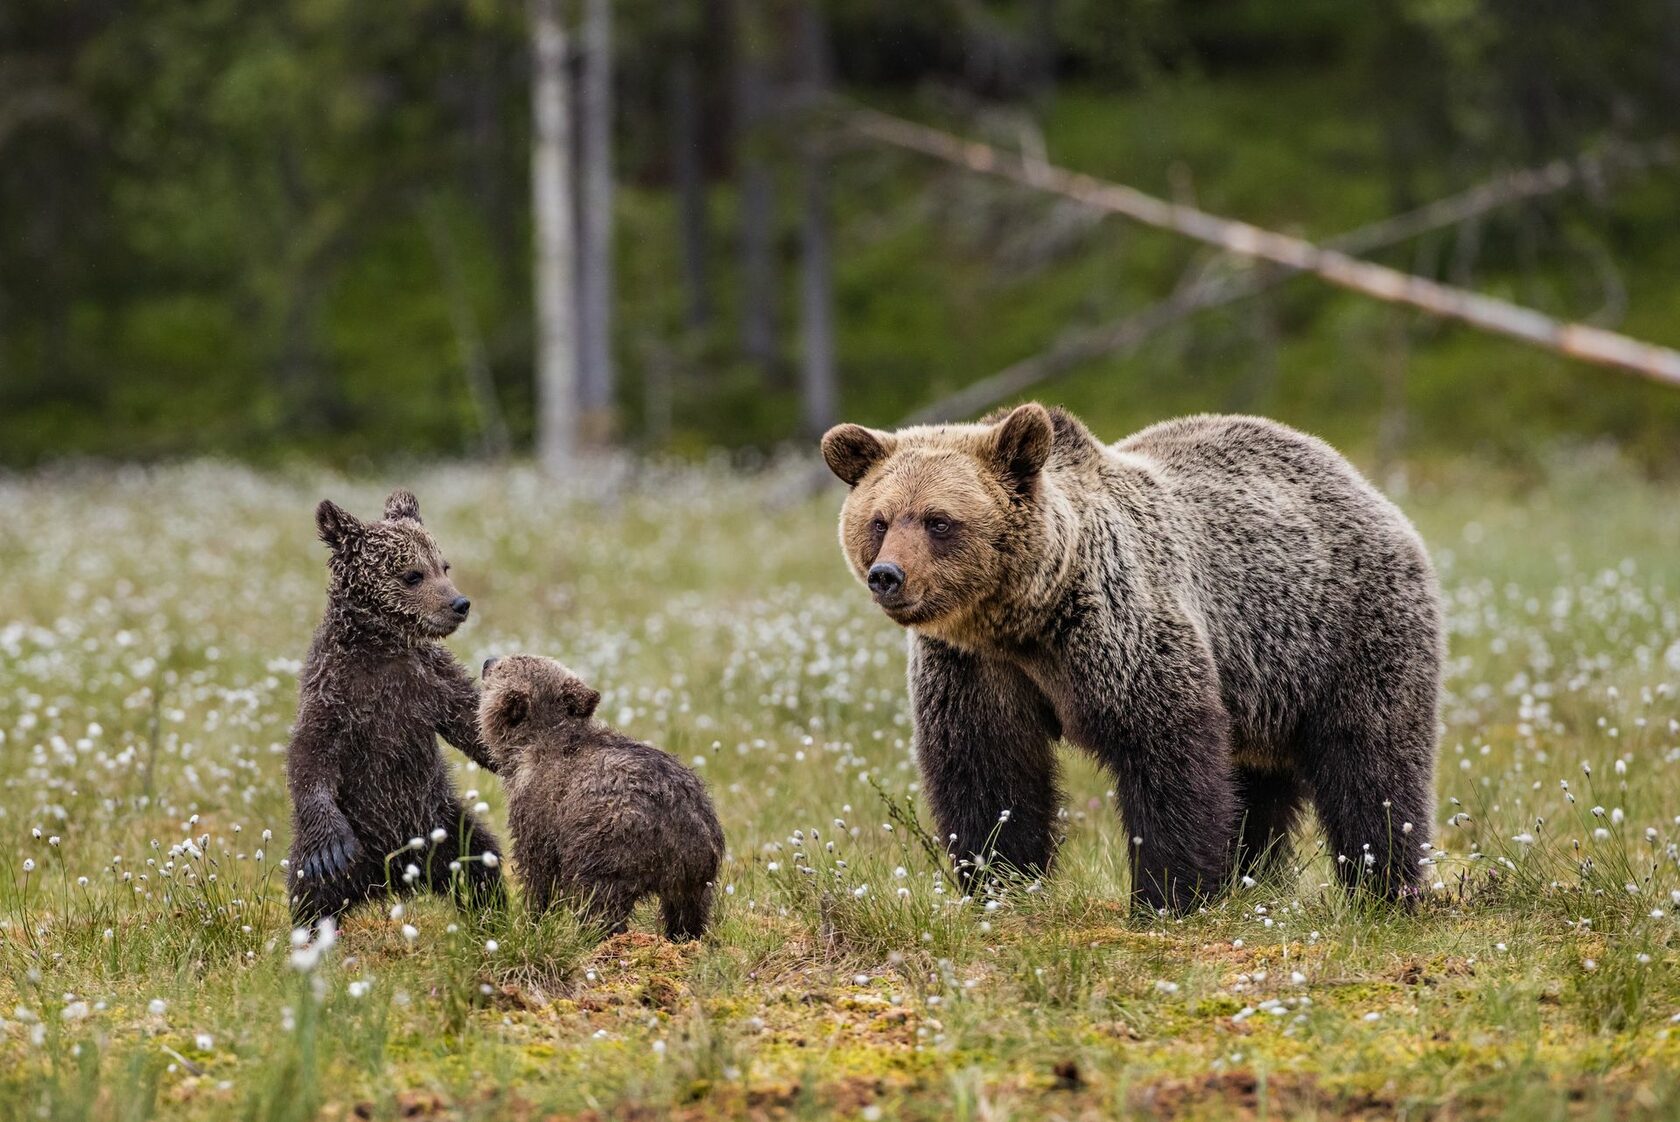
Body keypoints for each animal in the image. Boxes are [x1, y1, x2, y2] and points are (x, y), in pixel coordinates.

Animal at [819, 403, 1438, 913]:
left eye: (938, 520)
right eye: (879, 520)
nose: (888, 576)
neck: (1022, 620)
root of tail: (1359, 481)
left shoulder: (1120, 629)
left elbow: (1166, 753)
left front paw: (1169, 894)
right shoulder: (973, 667)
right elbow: (987, 768)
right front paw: (1000, 880)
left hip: (1342, 631)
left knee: (1371, 760)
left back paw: (1385, 887)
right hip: (1259, 685)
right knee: (1259, 785)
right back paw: (1252, 876)